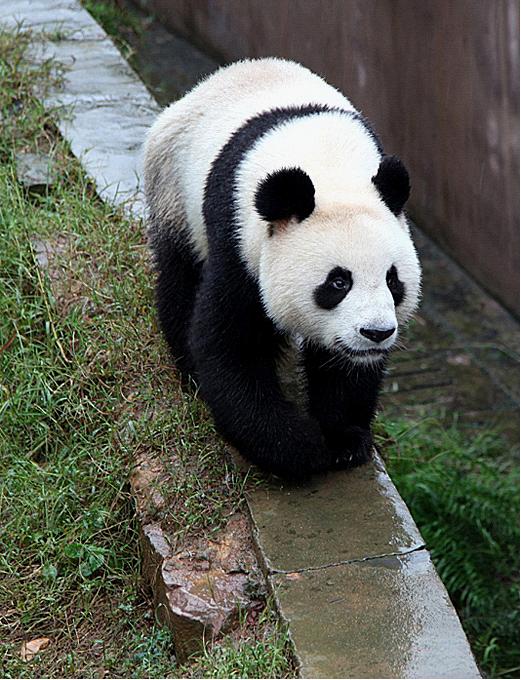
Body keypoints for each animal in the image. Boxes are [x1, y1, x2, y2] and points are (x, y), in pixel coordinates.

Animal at [143, 58, 421, 480]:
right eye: (338, 282)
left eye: (393, 280)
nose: (376, 333)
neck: (329, 168)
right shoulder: (240, 241)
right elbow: (230, 343)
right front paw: (298, 448)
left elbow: (345, 368)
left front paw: (343, 438)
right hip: (173, 191)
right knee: (180, 279)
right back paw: (189, 371)